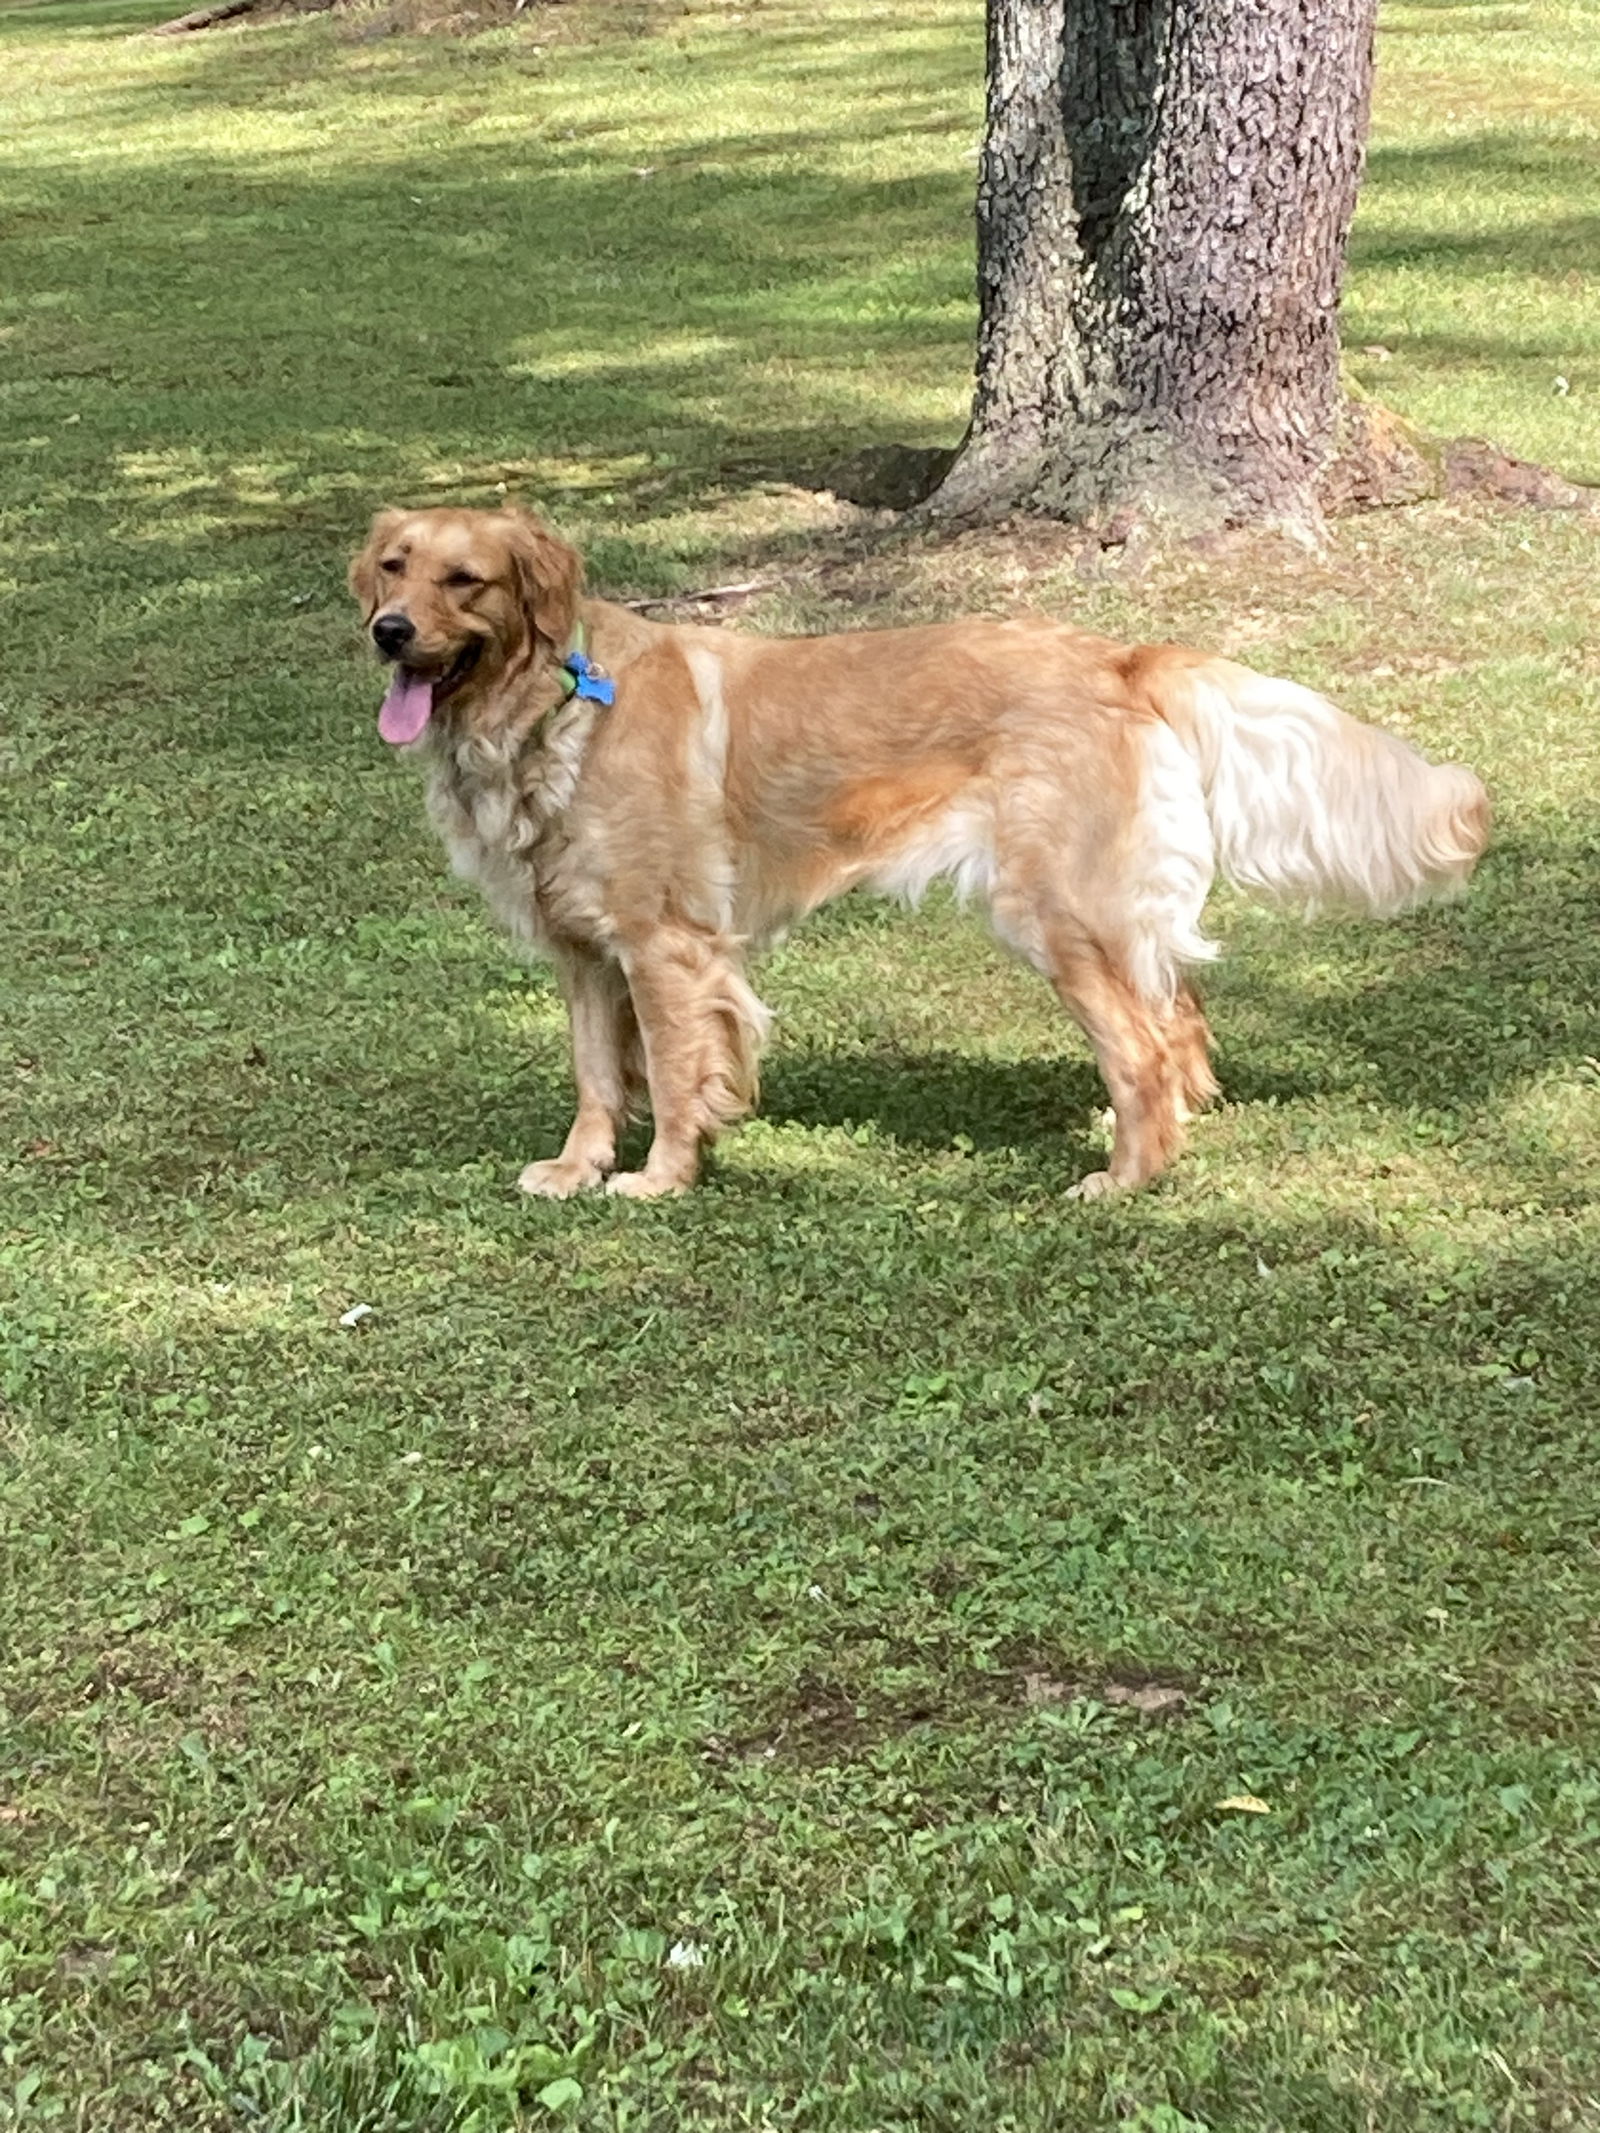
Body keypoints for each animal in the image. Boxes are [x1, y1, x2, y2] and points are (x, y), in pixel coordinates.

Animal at [349, 503, 1493, 1203]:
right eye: (395, 568)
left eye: (468, 580)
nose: (388, 631)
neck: (549, 708)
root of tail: (1118, 655)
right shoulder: (585, 951)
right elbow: (596, 1075)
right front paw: (577, 1167)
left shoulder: (665, 945)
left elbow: (674, 1077)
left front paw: (661, 1177)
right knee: (1176, 1022)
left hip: (1051, 913)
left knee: (1139, 1044)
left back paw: (1124, 1176)